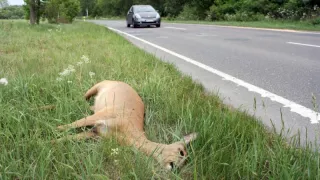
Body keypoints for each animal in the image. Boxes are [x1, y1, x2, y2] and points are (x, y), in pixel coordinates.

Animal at [56, 80, 196, 170]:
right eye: (181, 152)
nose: (175, 168)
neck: (129, 133)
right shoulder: (105, 115)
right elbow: (69, 125)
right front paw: (53, 130)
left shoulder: (96, 133)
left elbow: (67, 138)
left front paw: (50, 143)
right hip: (97, 87)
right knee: (81, 98)